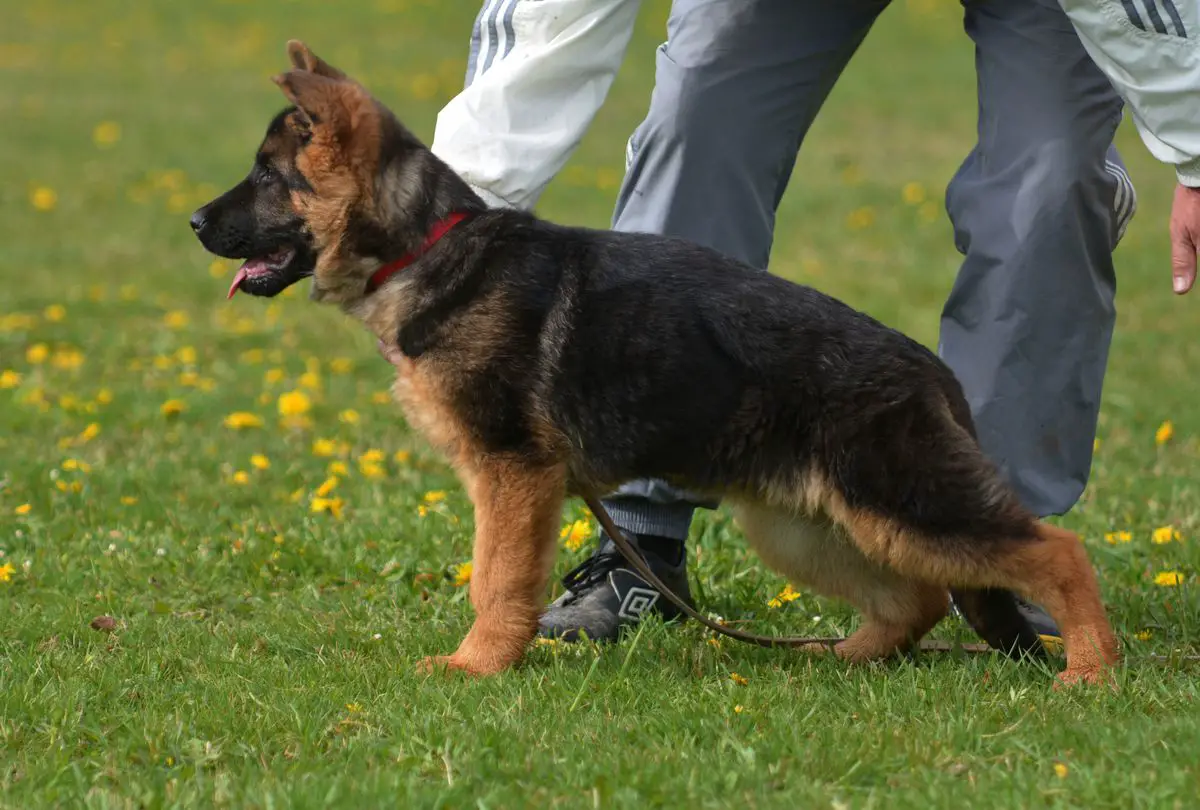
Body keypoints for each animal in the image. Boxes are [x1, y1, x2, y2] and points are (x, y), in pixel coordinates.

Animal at [192, 42, 1118, 691]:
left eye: (267, 176)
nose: (196, 222)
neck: (428, 247)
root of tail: (930, 371)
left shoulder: (512, 478)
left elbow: (496, 581)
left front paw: (477, 667)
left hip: (905, 500)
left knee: (1058, 552)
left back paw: (1091, 669)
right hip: (807, 521)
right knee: (917, 596)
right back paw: (846, 655)